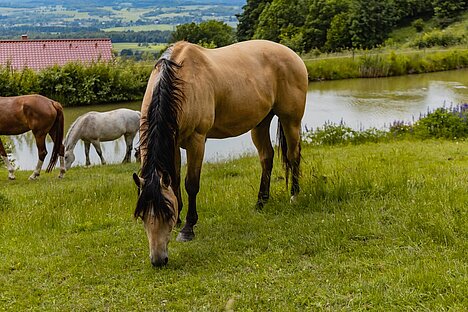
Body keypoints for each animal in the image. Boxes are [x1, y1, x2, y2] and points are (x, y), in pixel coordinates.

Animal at [133, 40, 308, 266]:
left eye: (167, 214)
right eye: (143, 215)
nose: (158, 260)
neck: (180, 79)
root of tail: (292, 54)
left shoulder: (197, 140)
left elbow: (191, 184)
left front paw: (187, 228)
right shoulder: (173, 143)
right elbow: (175, 180)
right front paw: (181, 218)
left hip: (290, 120)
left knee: (293, 156)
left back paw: (294, 195)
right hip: (261, 122)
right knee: (266, 158)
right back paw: (261, 202)